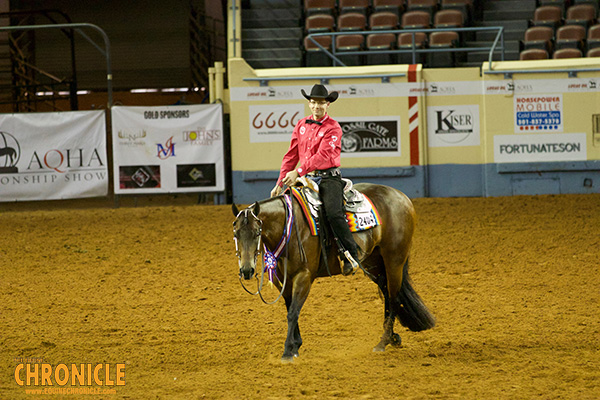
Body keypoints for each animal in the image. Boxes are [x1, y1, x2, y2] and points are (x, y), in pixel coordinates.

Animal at [232, 183, 434, 360]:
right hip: (375, 263)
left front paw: (288, 351)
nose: (247, 270)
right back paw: (392, 338)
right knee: (386, 293)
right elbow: (291, 309)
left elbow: (293, 312)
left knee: (393, 298)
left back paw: (382, 342)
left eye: (257, 232)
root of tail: (403, 197)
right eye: (236, 234)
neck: (288, 228)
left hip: (394, 260)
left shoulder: (304, 276)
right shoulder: (284, 279)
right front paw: (296, 346)